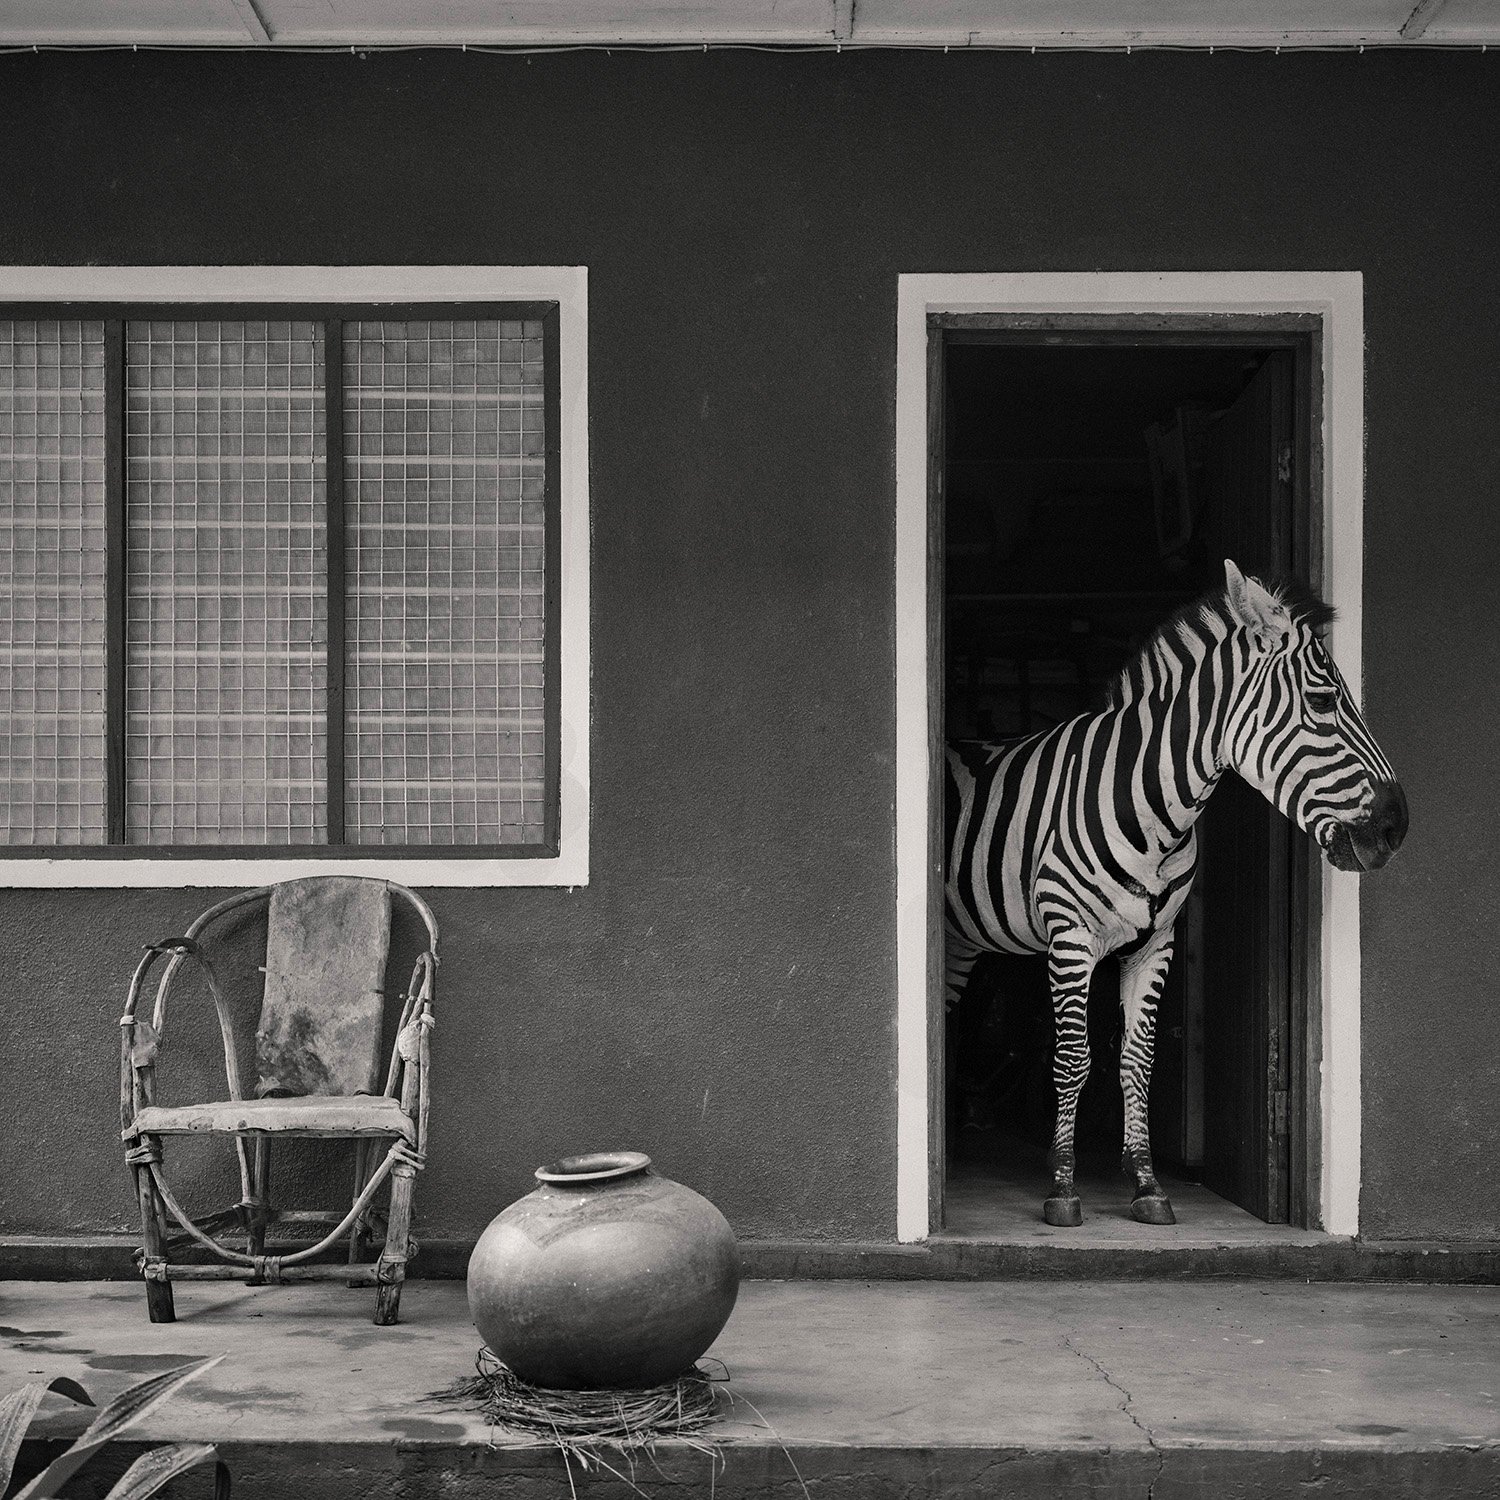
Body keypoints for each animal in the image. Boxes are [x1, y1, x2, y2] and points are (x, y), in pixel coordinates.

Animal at [944, 559, 1407, 1227]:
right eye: (1322, 700)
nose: (1398, 826)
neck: (1154, 812)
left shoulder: (1156, 942)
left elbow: (1136, 1061)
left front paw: (1145, 1183)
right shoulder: (1070, 937)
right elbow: (1073, 1057)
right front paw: (1062, 1188)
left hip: (960, 942)